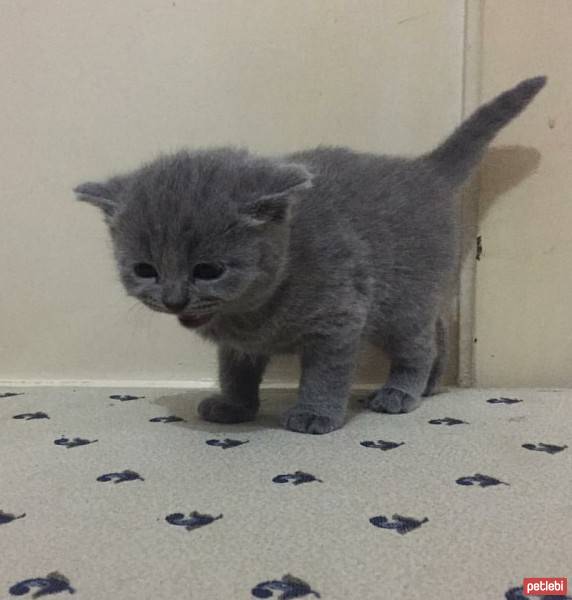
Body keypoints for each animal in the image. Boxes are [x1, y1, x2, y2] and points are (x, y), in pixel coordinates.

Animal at [75, 77, 544, 434]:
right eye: (145, 270)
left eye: (208, 270)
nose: (174, 300)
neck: (251, 314)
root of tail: (423, 169)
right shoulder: (238, 345)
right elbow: (236, 372)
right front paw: (235, 406)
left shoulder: (338, 321)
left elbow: (326, 374)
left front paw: (315, 414)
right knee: (440, 327)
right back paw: (429, 386)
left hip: (403, 301)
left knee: (419, 342)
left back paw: (401, 392)